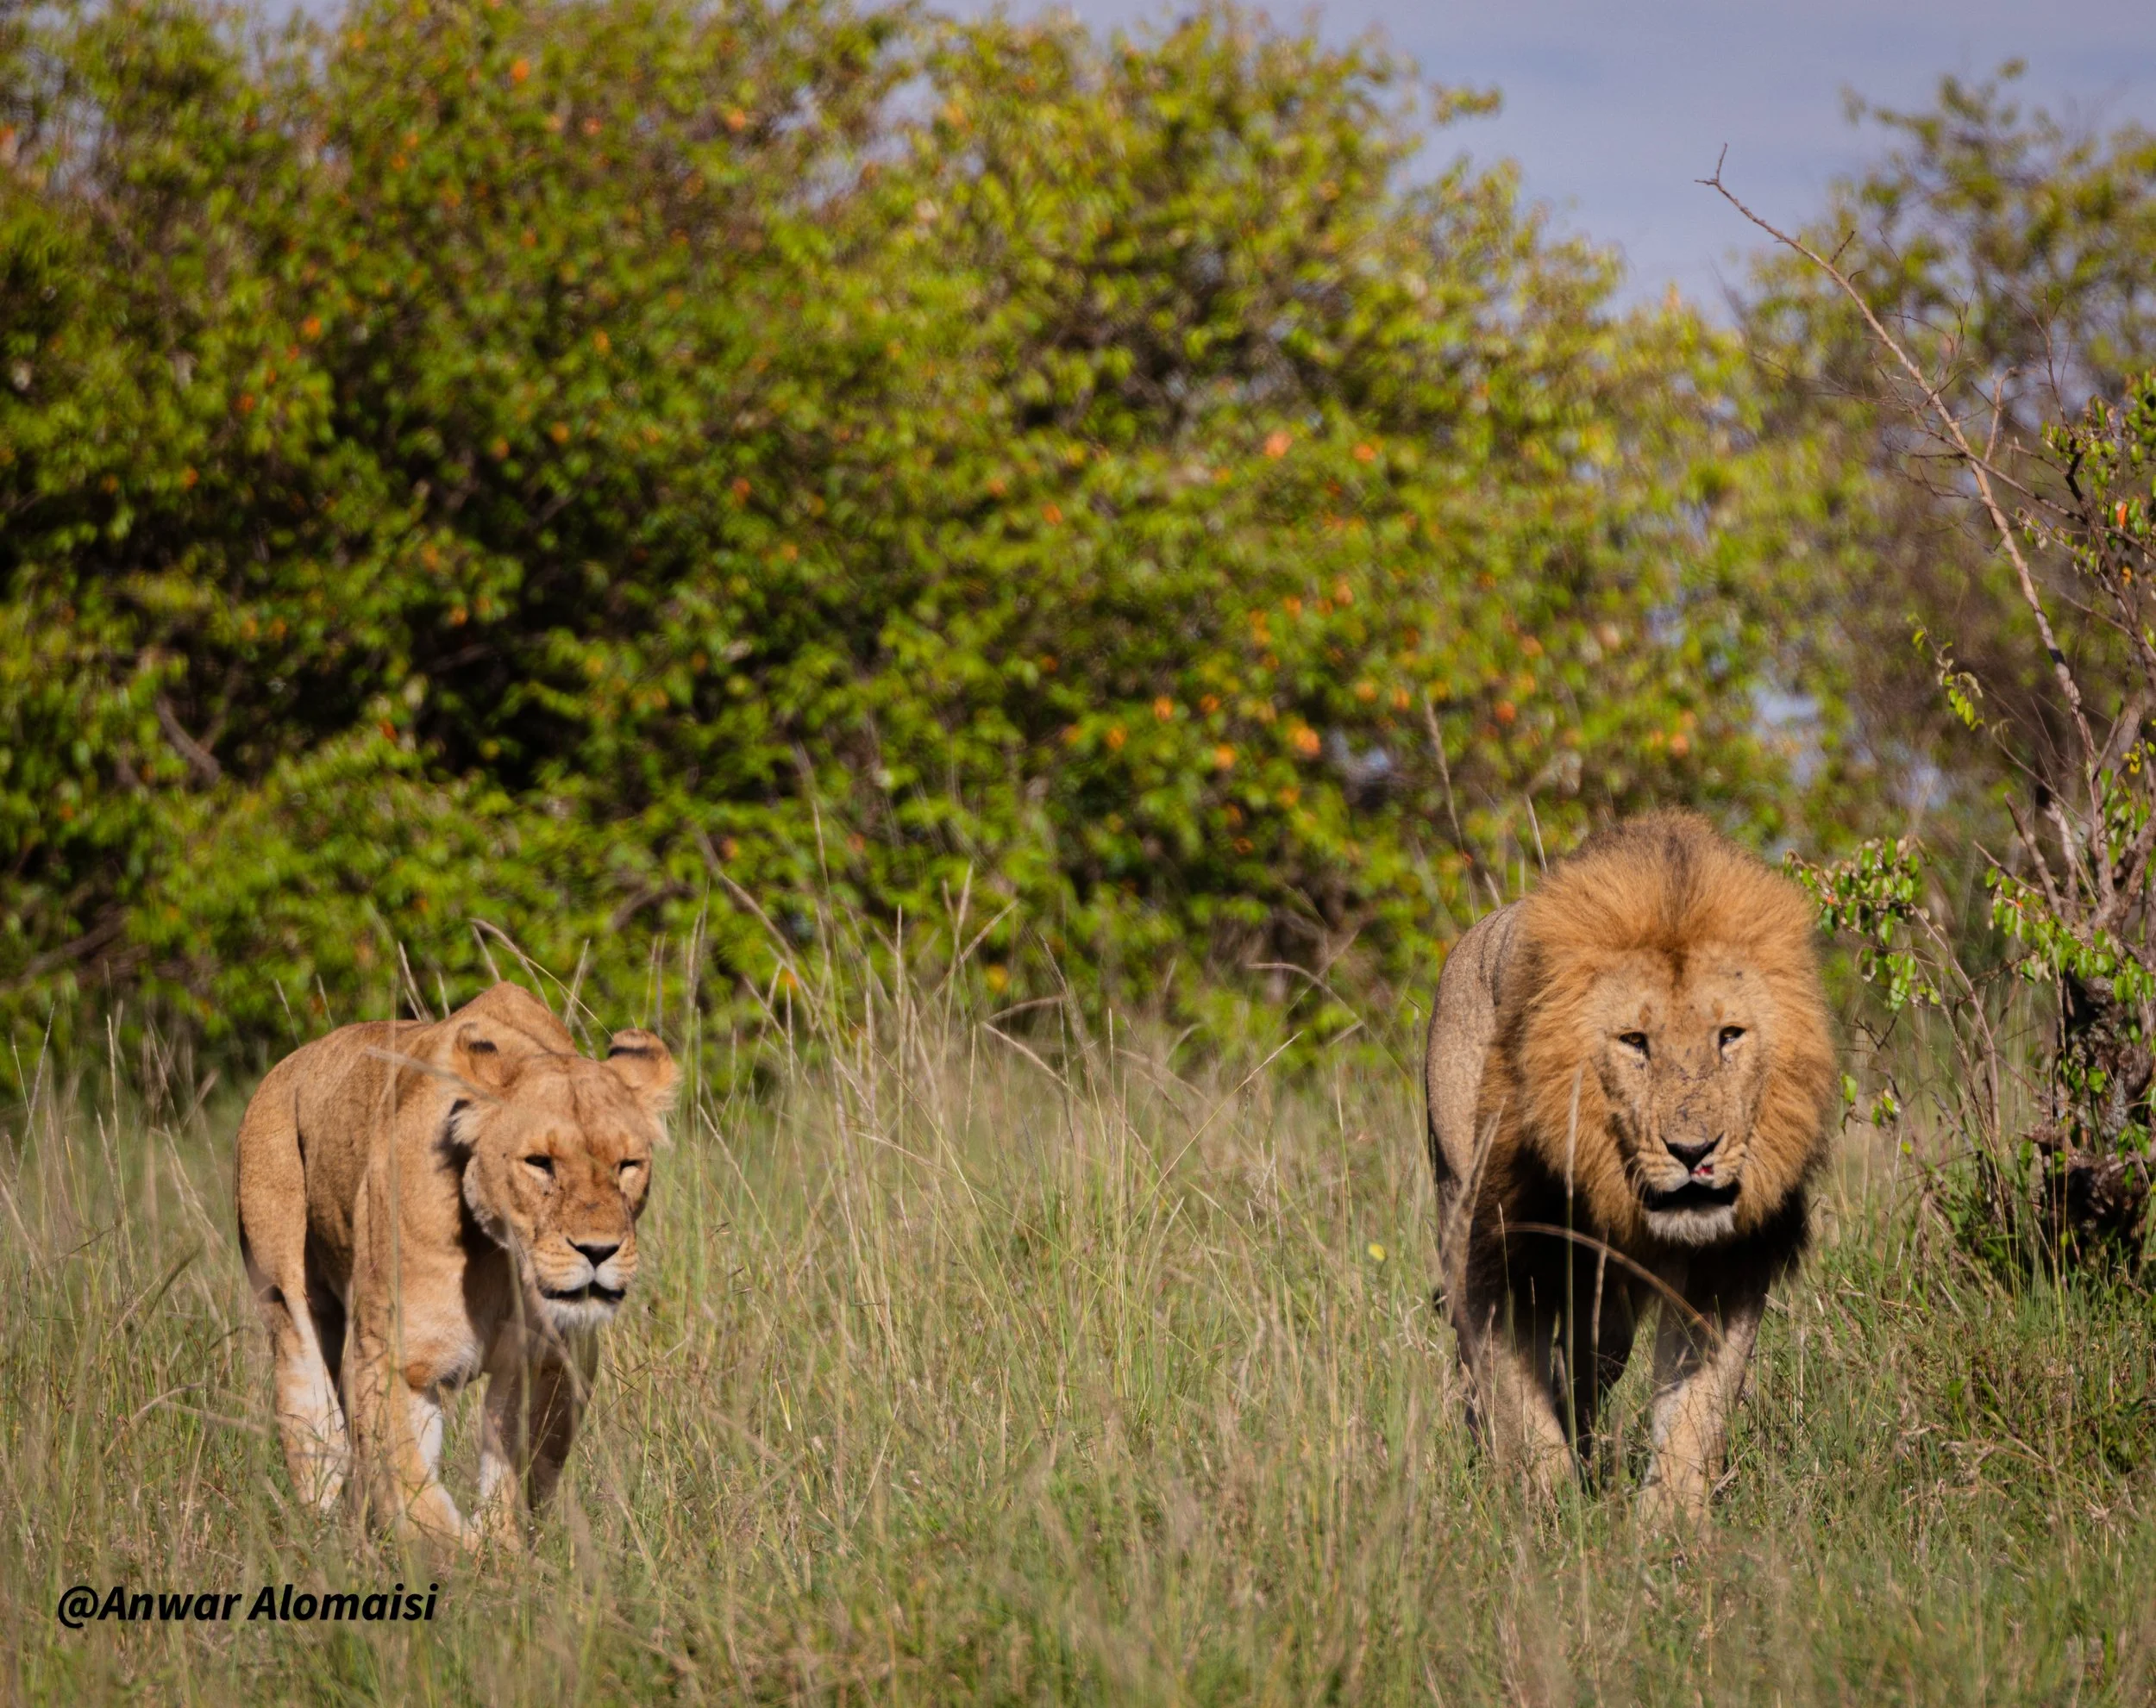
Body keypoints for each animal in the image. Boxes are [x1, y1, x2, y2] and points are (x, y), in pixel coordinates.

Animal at [234, 980, 676, 1547]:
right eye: (540, 1163)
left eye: (627, 1166)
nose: (598, 1251)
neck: (501, 1258)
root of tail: (284, 1065)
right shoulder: (392, 1357)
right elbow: (413, 1491)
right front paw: (459, 1555)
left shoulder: (550, 1359)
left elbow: (516, 1472)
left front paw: (501, 1550)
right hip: (288, 1312)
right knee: (315, 1428)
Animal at [1424, 811, 1835, 1522]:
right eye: (1634, 1042)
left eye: (1730, 1035)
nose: (1694, 1152)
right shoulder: (1502, 1252)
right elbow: (1518, 1400)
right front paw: (1549, 1509)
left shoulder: (1726, 1268)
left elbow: (1697, 1410)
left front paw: (1667, 1523)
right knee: (1483, 1371)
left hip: (1603, 1311)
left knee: (1585, 1366)